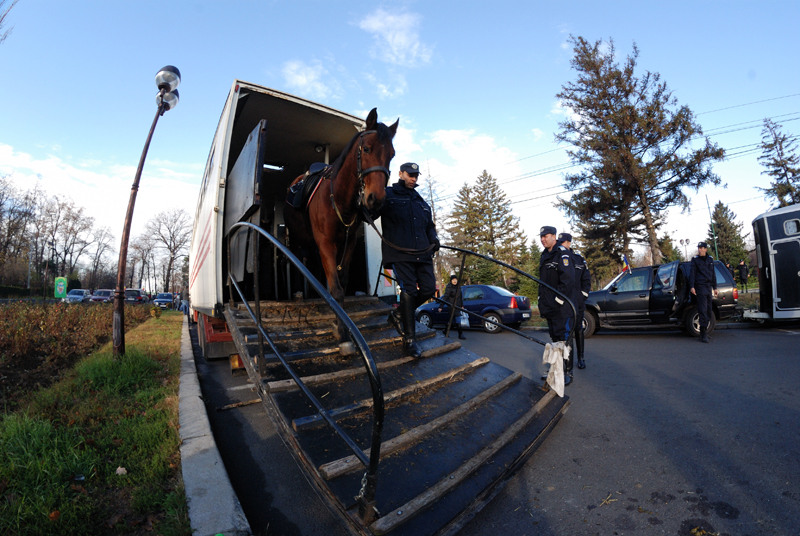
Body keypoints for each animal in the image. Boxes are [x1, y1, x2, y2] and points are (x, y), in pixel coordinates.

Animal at [284, 108, 398, 348]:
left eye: (391, 154)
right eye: (367, 148)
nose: (376, 200)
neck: (338, 198)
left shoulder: (349, 243)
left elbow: (341, 283)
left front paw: (339, 323)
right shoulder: (326, 243)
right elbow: (336, 289)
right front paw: (343, 333)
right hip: (299, 239)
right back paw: (299, 293)